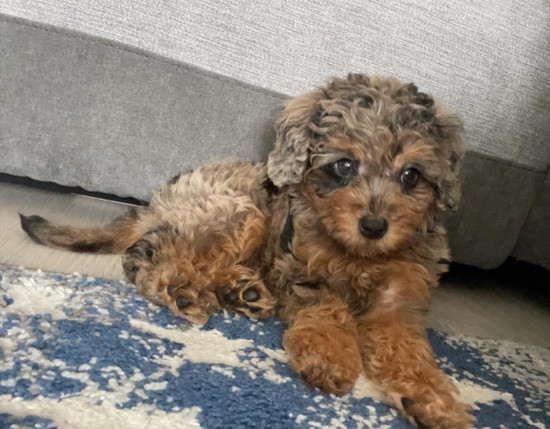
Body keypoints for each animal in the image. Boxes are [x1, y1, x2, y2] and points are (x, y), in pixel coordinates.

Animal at [19, 73, 472, 428]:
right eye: (344, 165)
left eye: (410, 175)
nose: (375, 227)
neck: (358, 253)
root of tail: (158, 200)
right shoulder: (301, 268)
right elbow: (328, 311)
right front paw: (330, 357)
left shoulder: (399, 299)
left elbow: (409, 350)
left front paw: (434, 401)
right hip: (241, 213)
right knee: (145, 258)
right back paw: (182, 291)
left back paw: (240, 291)